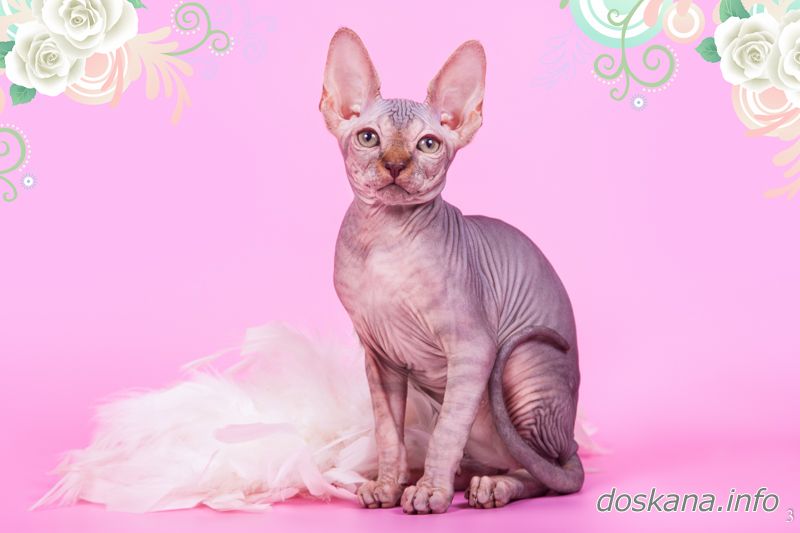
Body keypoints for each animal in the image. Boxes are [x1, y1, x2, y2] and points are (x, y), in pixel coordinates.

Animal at [321, 28, 584, 514]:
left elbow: (445, 433)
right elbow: (388, 433)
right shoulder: (380, 357)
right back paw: (446, 476)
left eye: (428, 143)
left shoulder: (474, 348)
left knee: (548, 473)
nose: (395, 164)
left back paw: (491, 486)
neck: (384, 244)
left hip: (523, 366)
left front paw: (429, 493)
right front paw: (388, 485)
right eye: (368, 137)